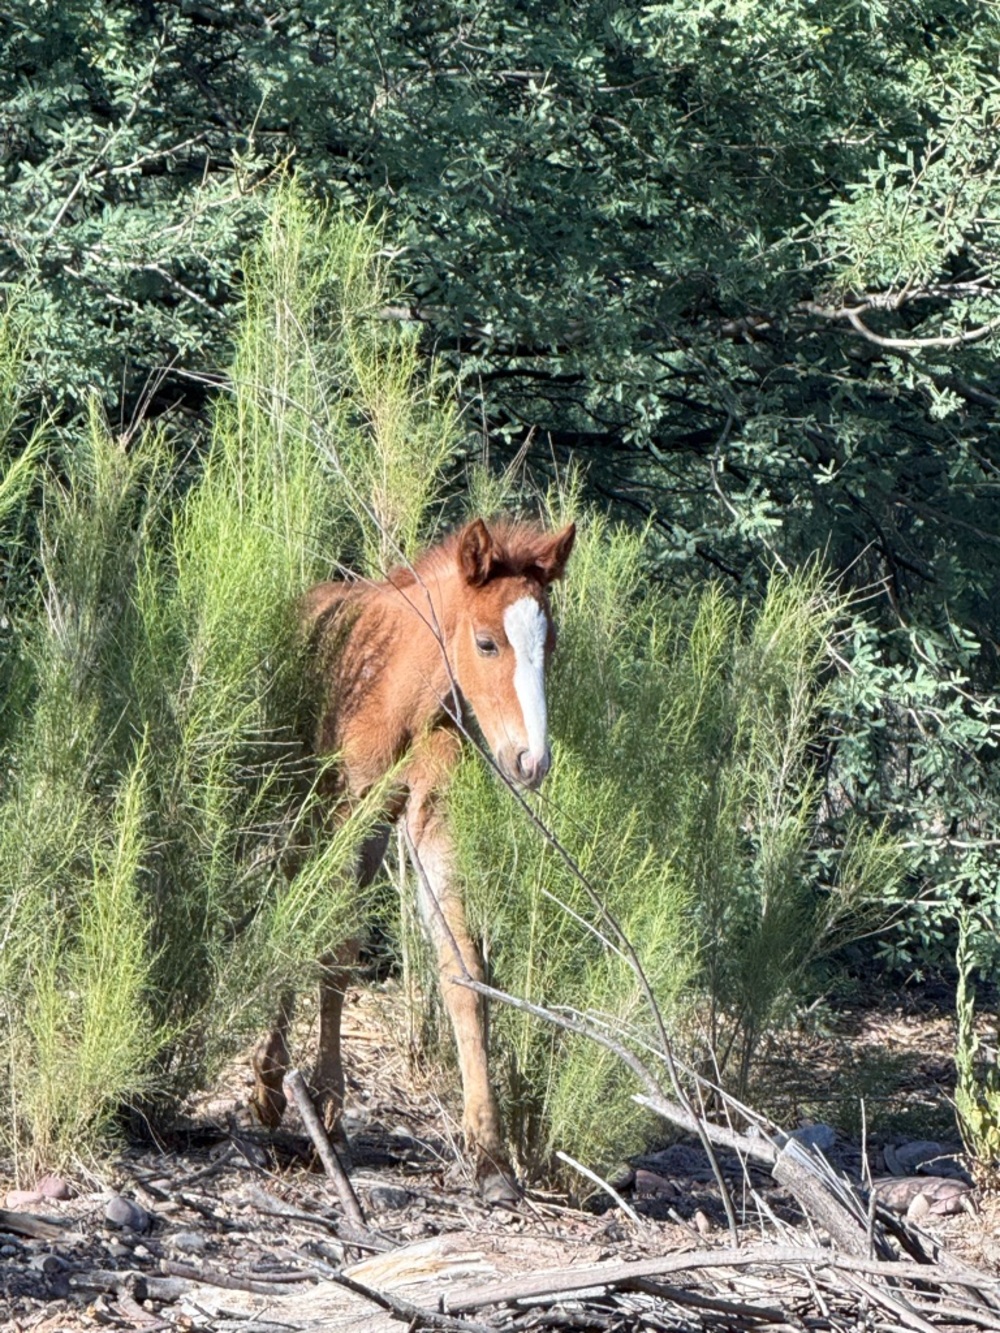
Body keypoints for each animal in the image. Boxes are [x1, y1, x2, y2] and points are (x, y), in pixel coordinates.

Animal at [251, 516, 576, 1202]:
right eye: (486, 643)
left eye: (552, 644)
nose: (531, 762)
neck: (401, 691)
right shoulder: (347, 811)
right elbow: (336, 946)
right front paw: (326, 1116)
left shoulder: (428, 815)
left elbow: (462, 965)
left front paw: (491, 1158)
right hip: (299, 806)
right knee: (287, 901)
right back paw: (268, 1083)